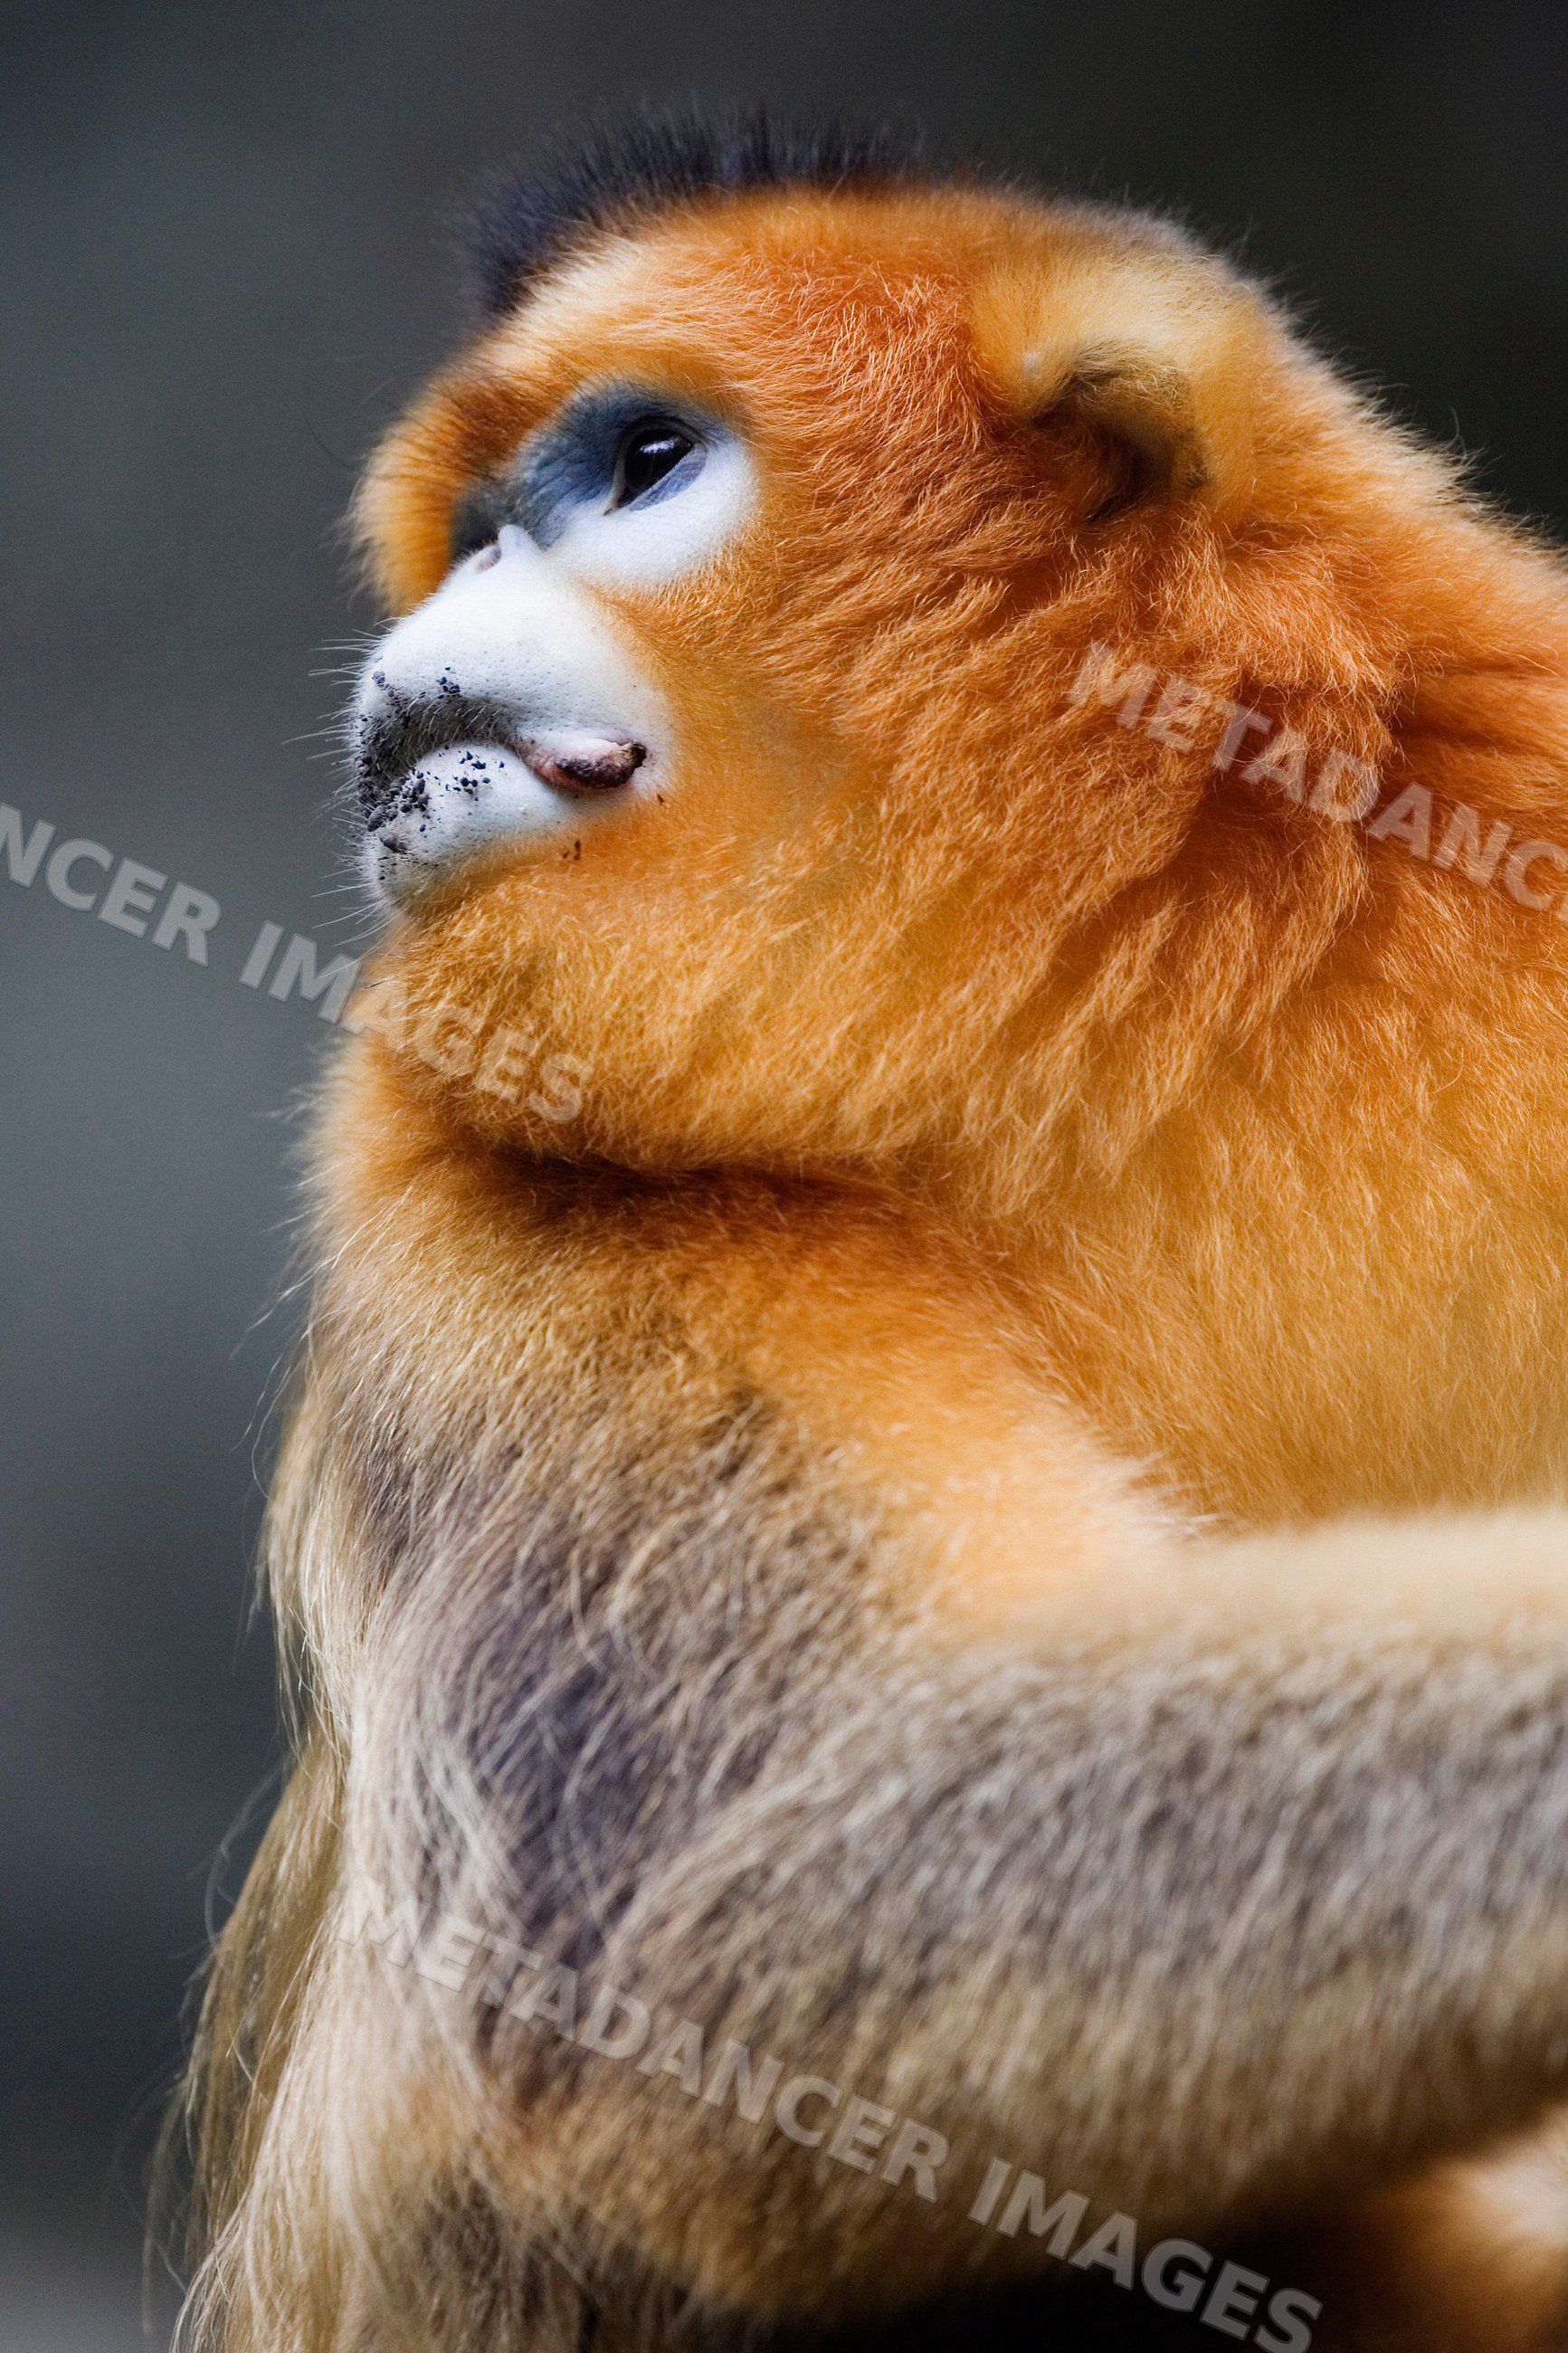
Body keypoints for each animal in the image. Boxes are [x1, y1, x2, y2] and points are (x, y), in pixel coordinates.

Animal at [173, 110, 1568, 2353]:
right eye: (469, 527)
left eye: (637, 465)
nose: (468, 585)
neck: (1105, 997)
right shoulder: (466, 1183)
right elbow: (742, 1893)